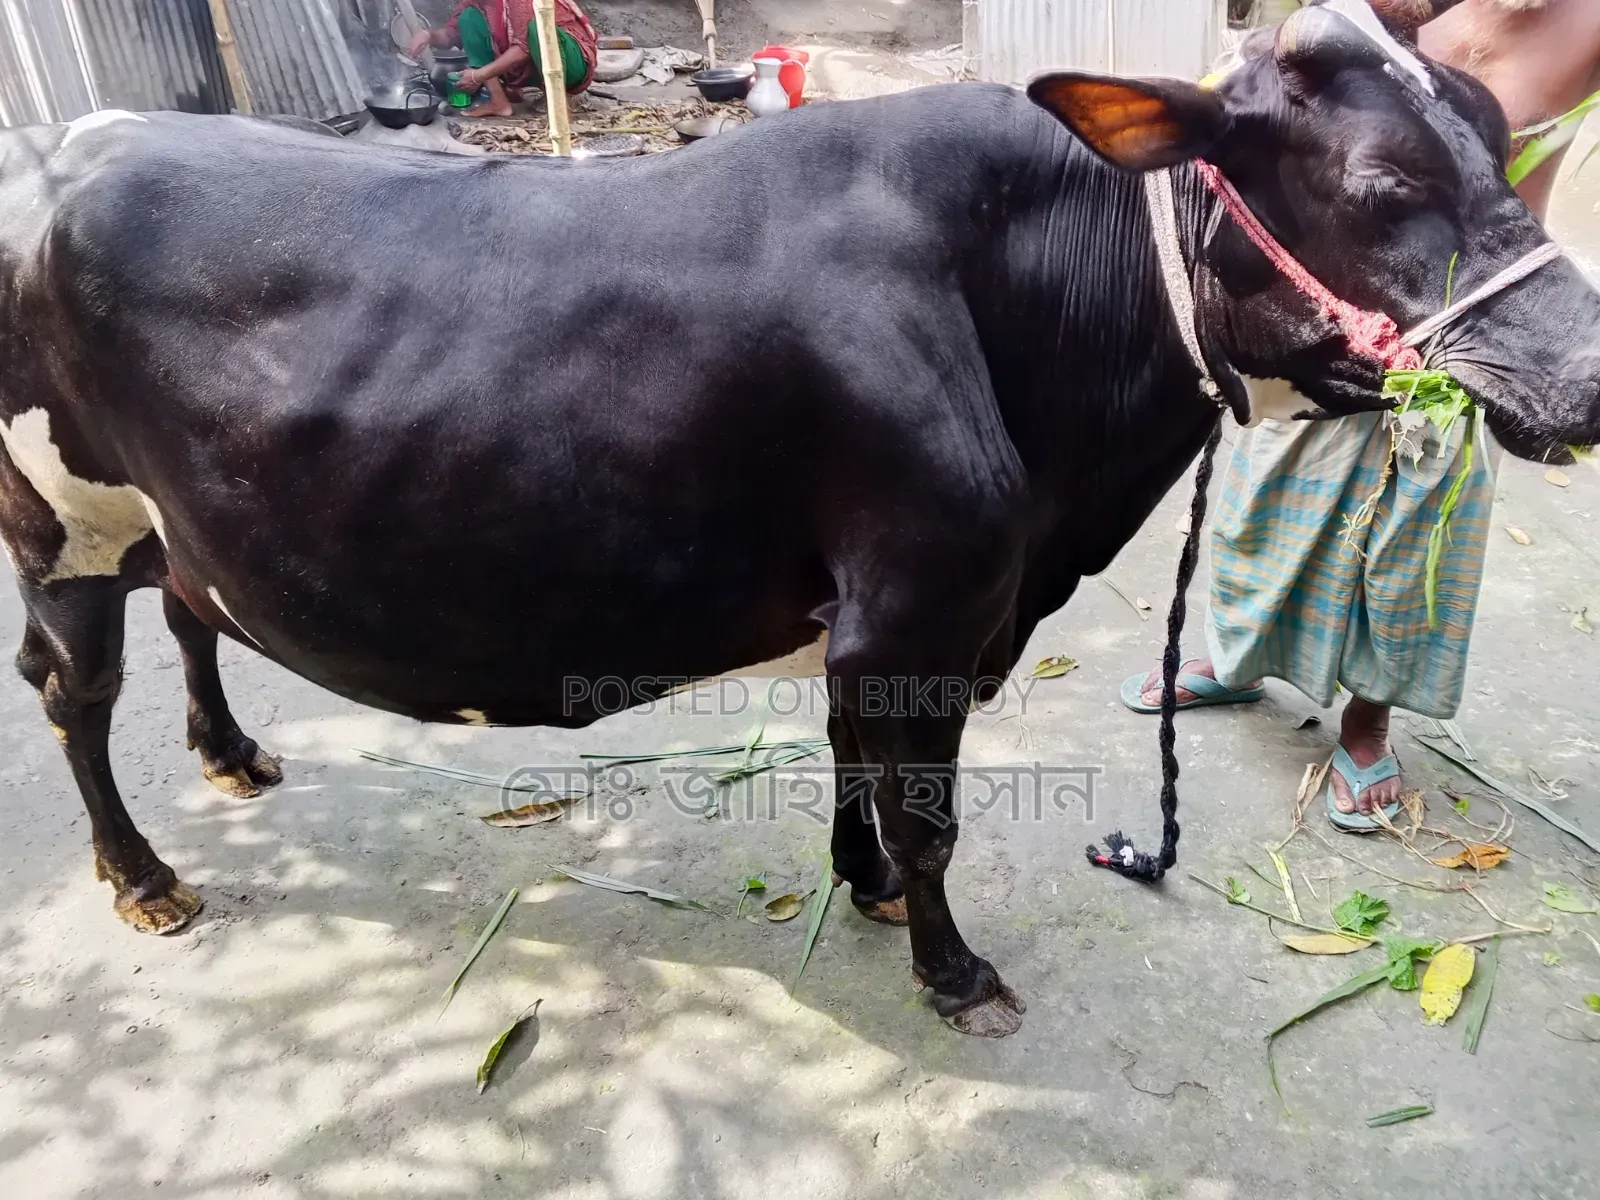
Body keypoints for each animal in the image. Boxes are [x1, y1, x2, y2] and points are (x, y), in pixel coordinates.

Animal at [1, 0, 1597, 1037]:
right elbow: (931, 817)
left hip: (167, 515)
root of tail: (63, 143)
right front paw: (954, 970)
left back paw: (229, 755)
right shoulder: (923, 604)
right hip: (56, 521)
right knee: (75, 694)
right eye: (1383, 183)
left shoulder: (877, 614)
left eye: (1507, 145)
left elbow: (854, 773)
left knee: (188, 605)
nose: (1584, 374)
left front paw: (863, 886)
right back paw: (144, 879)